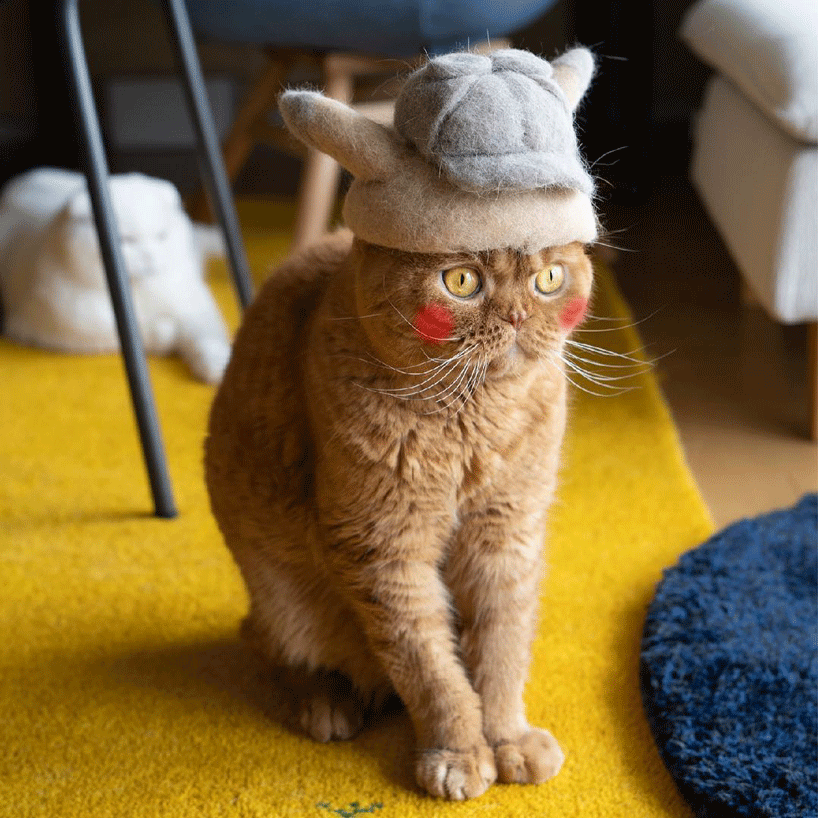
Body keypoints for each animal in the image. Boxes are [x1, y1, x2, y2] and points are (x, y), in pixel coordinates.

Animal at [0, 167, 230, 384]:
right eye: (126, 240)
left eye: (161, 236)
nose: (150, 256)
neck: (136, 291)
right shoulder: (56, 329)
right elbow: (135, 334)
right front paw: (167, 334)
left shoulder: (194, 305)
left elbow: (206, 335)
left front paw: (219, 367)